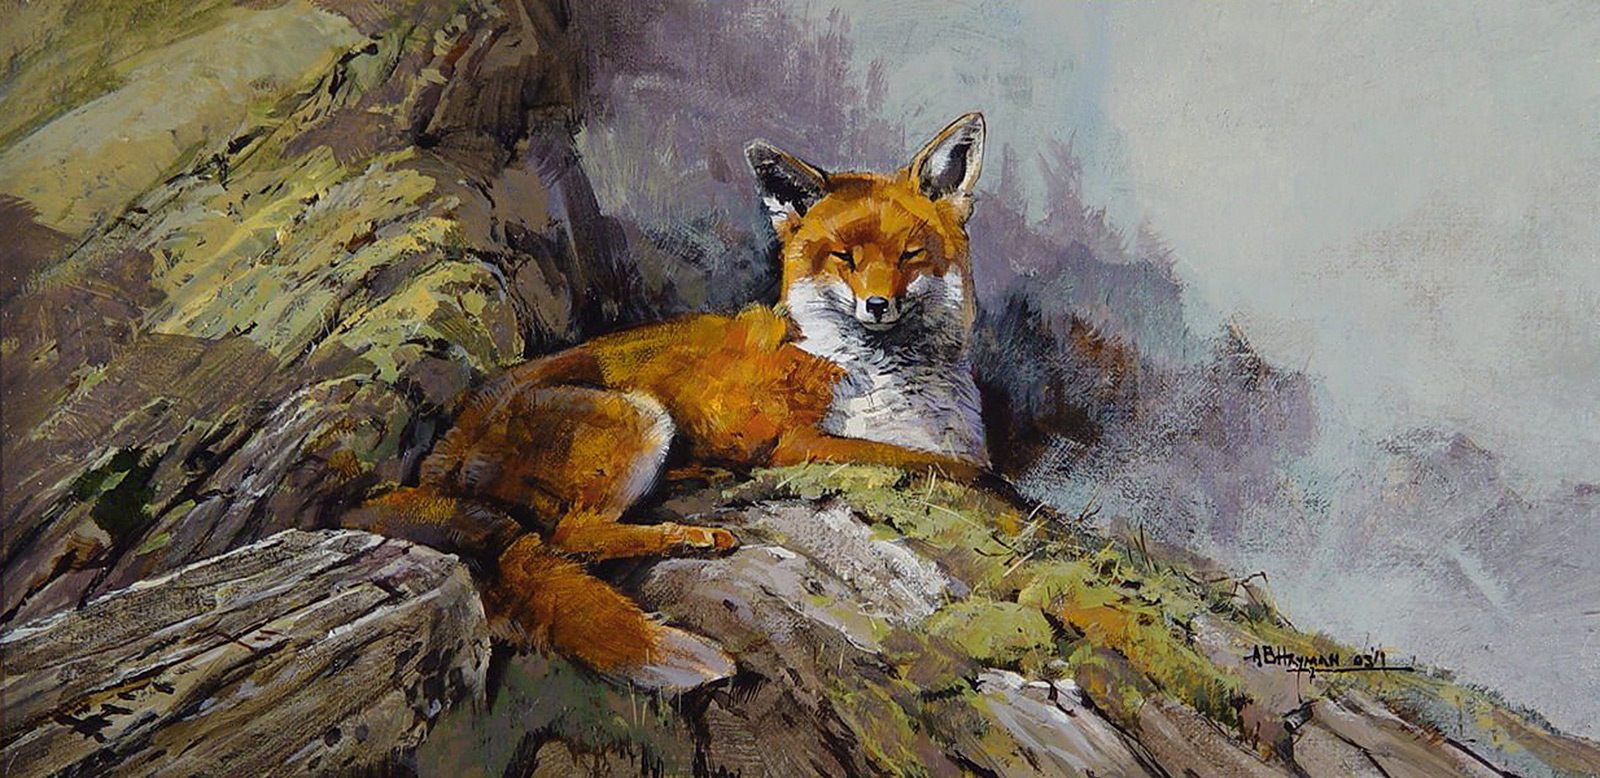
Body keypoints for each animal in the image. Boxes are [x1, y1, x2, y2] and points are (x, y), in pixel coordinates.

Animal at [343, 113, 991, 688]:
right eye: (844, 258)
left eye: (909, 255)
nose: (877, 306)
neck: (886, 380)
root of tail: (436, 466)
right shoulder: (801, 442)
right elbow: (939, 466)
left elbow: (956, 462)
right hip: (640, 417)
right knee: (571, 535)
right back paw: (688, 536)